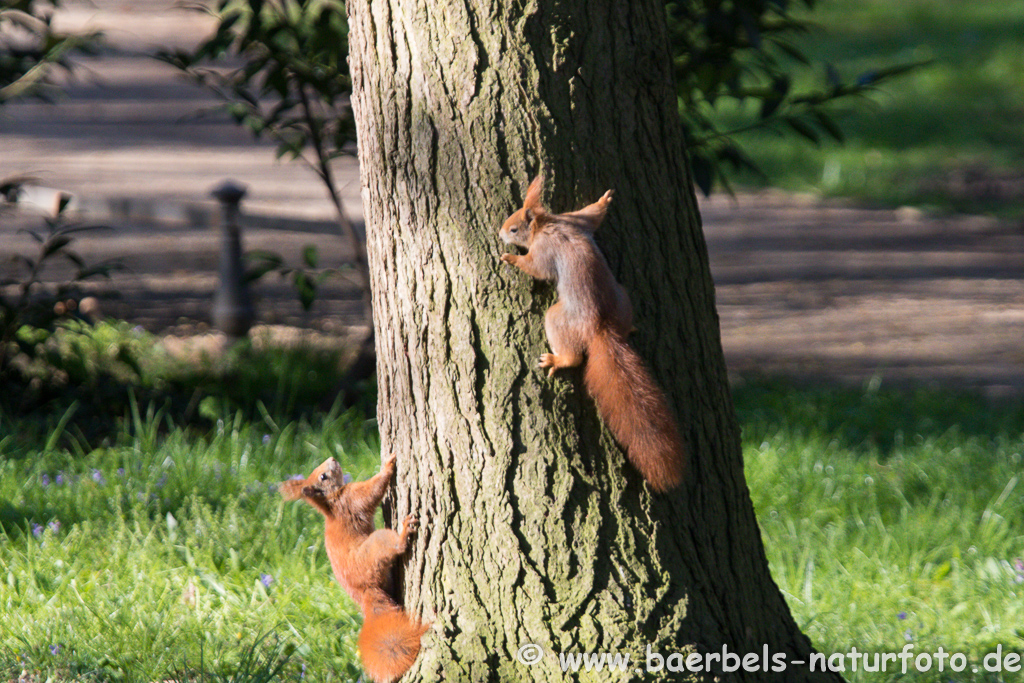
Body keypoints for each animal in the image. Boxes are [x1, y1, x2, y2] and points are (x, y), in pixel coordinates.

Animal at [278, 456, 425, 679]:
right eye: (323, 476)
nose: (332, 458)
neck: (332, 501)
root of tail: (363, 591)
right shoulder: (352, 498)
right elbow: (372, 490)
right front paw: (388, 466)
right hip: (376, 544)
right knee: (395, 546)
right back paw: (404, 532)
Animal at [499, 174, 684, 489]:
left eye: (514, 228)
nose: (500, 233)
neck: (548, 223)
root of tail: (599, 327)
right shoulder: (573, 220)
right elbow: (590, 216)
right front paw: (603, 200)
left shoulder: (545, 249)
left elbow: (535, 268)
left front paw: (511, 259)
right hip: (622, 298)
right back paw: (630, 327)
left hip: (558, 318)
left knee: (573, 356)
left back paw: (558, 359)